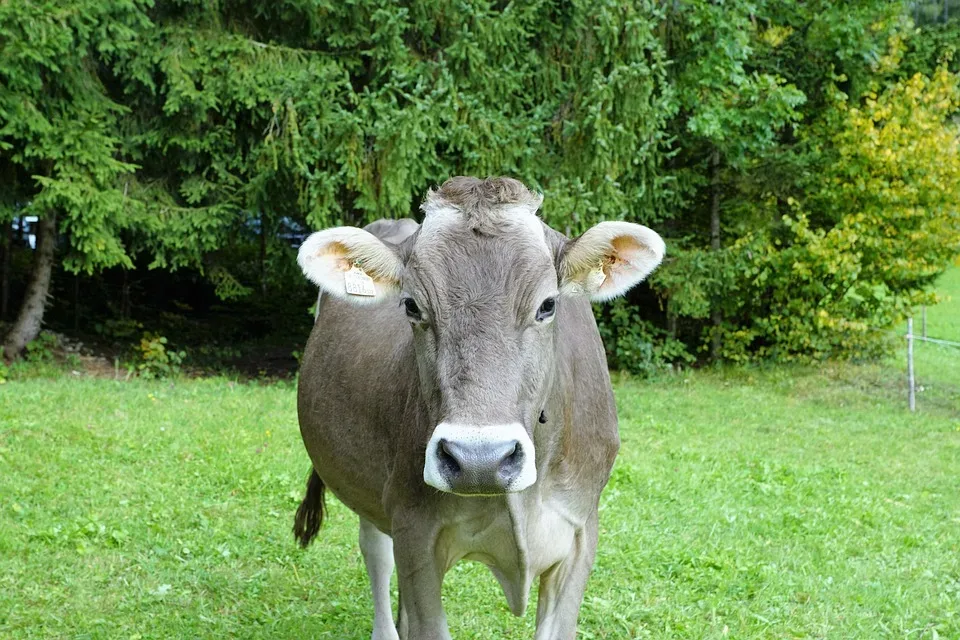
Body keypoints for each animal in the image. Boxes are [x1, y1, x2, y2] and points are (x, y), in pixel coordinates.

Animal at [296, 176, 664, 640]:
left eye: (548, 305)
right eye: (412, 305)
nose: (479, 460)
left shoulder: (580, 534)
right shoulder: (414, 532)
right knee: (375, 551)